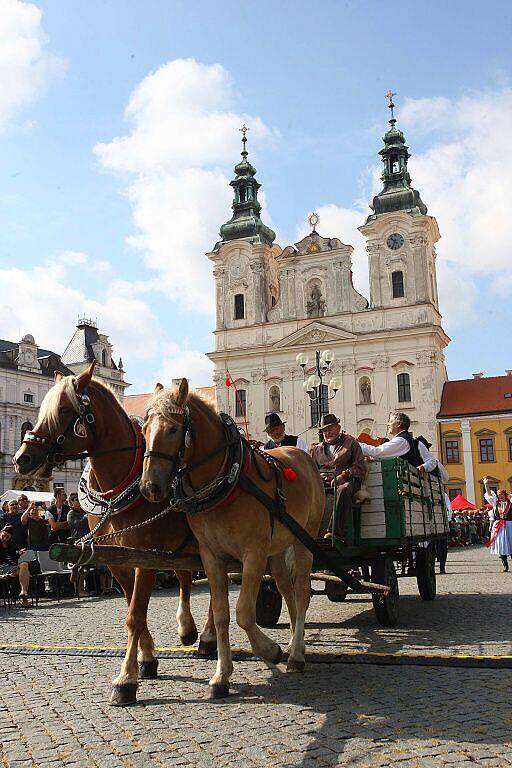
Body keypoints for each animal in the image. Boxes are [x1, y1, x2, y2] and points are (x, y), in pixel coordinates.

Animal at [12, 364, 216, 704]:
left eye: (63, 409)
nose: (22, 458)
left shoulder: (145, 557)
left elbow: (135, 614)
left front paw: (126, 679)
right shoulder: (115, 559)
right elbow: (132, 607)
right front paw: (147, 659)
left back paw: (209, 637)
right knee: (187, 579)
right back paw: (188, 629)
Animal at [140, 376, 324, 696]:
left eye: (173, 429)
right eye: (144, 429)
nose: (150, 486)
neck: (227, 480)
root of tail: (304, 456)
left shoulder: (253, 554)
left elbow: (243, 613)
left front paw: (269, 649)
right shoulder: (212, 557)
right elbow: (222, 614)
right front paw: (221, 675)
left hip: (305, 539)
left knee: (302, 591)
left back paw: (296, 654)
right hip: (278, 549)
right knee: (286, 590)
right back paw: (294, 643)